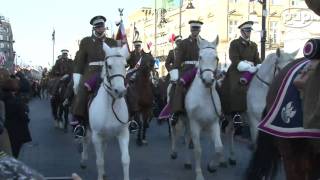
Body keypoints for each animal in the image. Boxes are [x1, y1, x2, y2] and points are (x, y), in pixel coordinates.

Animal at [81, 43, 130, 180]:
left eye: (125, 66)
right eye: (109, 66)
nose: (120, 91)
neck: (111, 103)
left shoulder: (123, 134)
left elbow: (125, 160)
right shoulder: (97, 136)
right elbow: (99, 161)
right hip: (88, 128)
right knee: (85, 140)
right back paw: (83, 159)